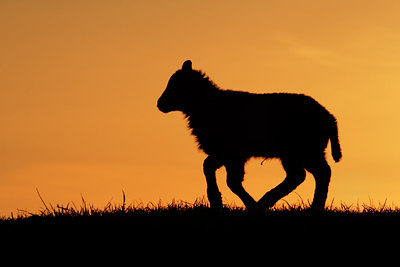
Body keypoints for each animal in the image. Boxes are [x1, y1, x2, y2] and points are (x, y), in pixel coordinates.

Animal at [156, 60, 340, 211]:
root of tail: (330, 117)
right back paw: (268, 202)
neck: (207, 105)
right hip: (296, 153)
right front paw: (218, 201)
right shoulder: (225, 154)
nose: (159, 104)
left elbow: (230, 181)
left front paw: (245, 204)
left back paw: (309, 207)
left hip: (306, 150)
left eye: (176, 86)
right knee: (298, 175)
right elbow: (212, 169)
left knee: (321, 173)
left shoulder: (231, 153)